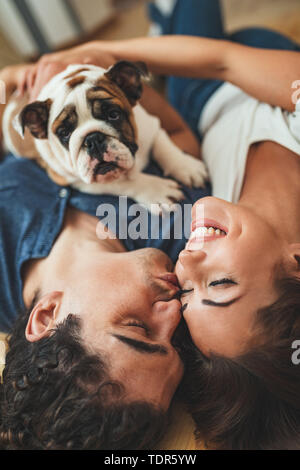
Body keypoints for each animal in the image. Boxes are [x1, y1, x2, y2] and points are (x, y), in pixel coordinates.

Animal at [2, 61, 209, 212]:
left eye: (113, 115)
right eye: (64, 133)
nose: (92, 139)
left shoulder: (151, 125)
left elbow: (164, 145)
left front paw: (185, 167)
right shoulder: (76, 179)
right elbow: (124, 183)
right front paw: (155, 189)